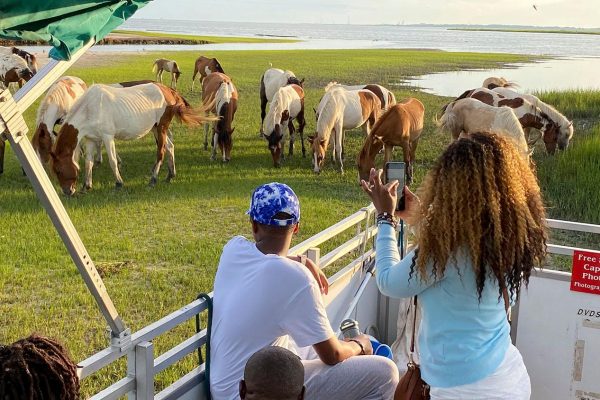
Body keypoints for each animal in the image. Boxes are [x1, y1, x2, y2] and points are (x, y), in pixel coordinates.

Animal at [47, 82, 215, 195]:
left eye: (59, 170)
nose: (68, 192)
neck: (90, 107)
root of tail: (169, 91)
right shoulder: (91, 139)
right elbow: (89, 162)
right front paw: (86, 186)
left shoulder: (107, 137)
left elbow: (113, 161)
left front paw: (119, 183)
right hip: (157, 129)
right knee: (170, 147)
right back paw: (170, 175)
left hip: (161, 128)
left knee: (160, 152)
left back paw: (153, 180)